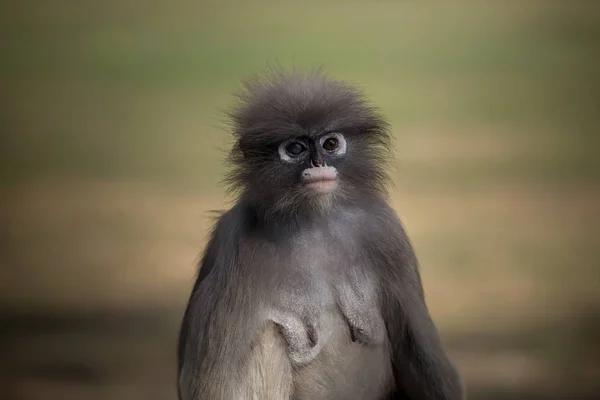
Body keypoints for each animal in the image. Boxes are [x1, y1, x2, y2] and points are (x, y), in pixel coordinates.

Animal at [176, 70, 462, 398]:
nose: (319, 163)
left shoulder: (384, 231)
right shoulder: (234, 246)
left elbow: (419, 349)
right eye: (295, 149)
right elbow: (211, 382)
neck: (313, 221)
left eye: (330, 143)